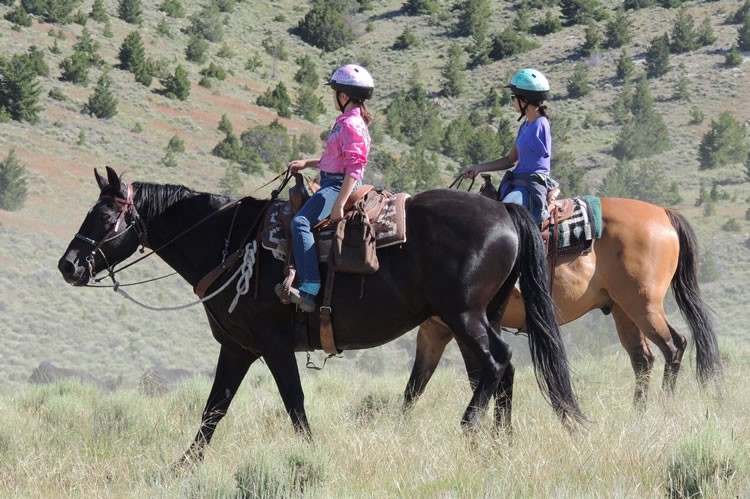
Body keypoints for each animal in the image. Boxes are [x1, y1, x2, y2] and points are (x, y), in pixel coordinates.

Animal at [57, 166, 583, 462]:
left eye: (104, 217)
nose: (69, 265)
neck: (232, 243)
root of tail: (505, 213)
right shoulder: (238, 348)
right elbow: (213, 410)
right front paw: (180, 468)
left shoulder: (272, 346)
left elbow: (294, 404)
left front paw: (310, 456)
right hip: (479, 317)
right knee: (501, 369)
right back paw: (499, 444)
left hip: (464, 316)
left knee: (496, 364)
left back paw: (470, 430)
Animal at [403, 197, 723, 412]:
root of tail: (665, 214)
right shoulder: (433, 331)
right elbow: (414, 387)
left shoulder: (458, 327)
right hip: (623, 312)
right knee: (643, 359)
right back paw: (638, 413)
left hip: (644, 305)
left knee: (674, 346)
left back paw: (664, 405)